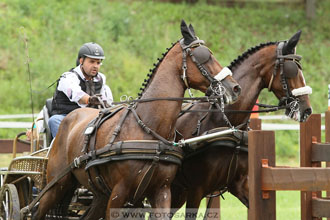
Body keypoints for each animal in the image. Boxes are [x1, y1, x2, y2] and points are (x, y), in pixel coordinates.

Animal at [30, 19, 240, 219]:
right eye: (205, 56)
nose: (235, 88)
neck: (148, 128)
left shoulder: (161, 191)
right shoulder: (119, 193)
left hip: (98, 195)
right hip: (56, 186)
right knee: (36, 212)